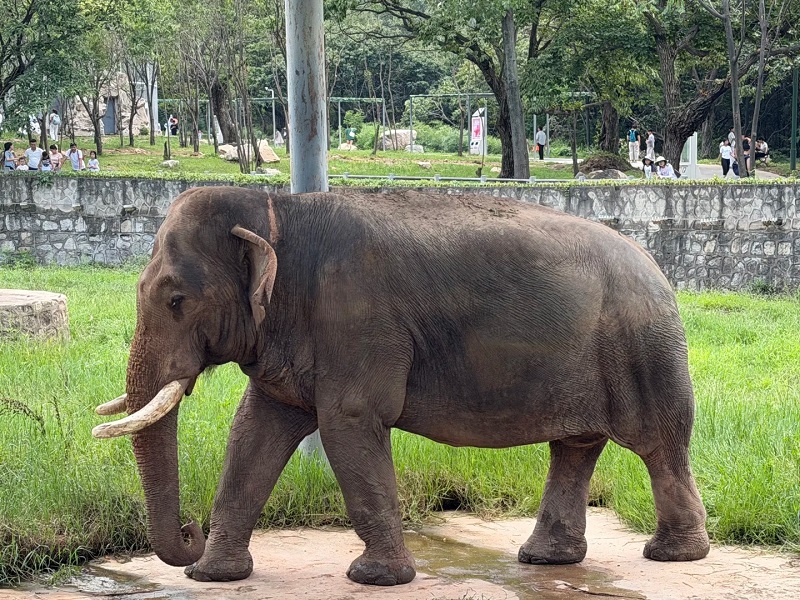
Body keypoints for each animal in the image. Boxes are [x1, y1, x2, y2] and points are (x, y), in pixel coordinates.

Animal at [93, 186, 710, 586]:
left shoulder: (356, 319)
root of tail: (660, 269)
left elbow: (348, 422)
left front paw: (375, 578)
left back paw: (671, 557)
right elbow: (254, 431)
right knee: (576, 446)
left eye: (177, 299)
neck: (277, 209)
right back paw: (545, 560)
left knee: (658, 445)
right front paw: (213, 576)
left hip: (645, 351)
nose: (189, 530)